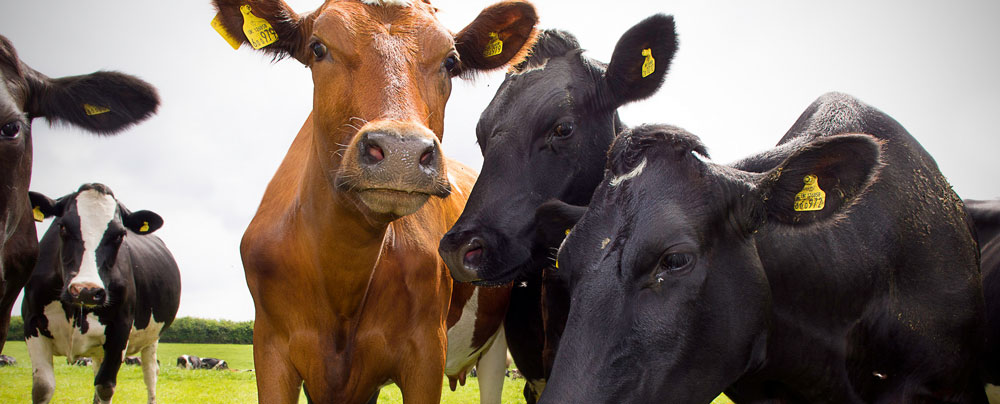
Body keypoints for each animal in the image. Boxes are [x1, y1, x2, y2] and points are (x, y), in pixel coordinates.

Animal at [22, 183, 181, 404]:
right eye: (62, 227)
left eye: (120, 235)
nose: (85, 290)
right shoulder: (32, 323)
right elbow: (42, 387)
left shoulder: (120, 329)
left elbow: (105, 386)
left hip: (151, 338)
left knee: (150, 374)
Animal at [208, 0, 538, 402]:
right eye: (318, 48)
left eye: (450, 61)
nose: (401, 151)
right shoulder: (270, 349)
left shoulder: (426, 350)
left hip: (496, 345)